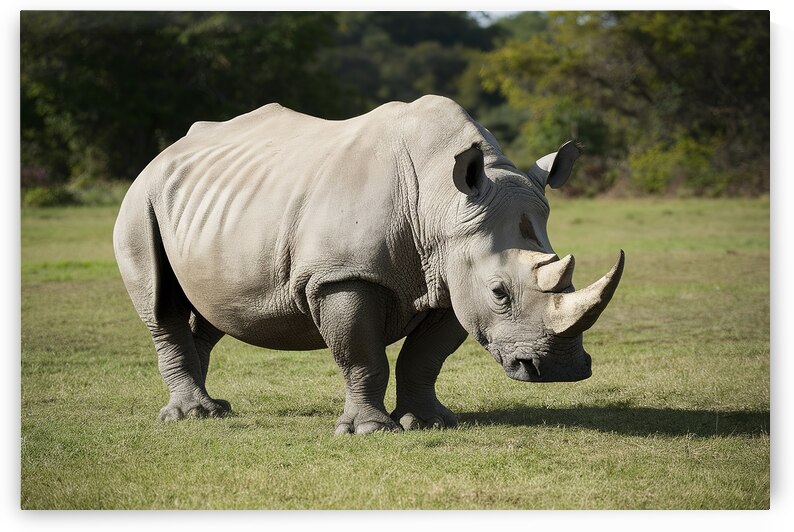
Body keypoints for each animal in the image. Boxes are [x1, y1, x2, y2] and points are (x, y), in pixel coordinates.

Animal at [114, 95, 624, 434]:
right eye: (500, 293)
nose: (560, 369)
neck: (442, 204)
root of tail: (165, 153)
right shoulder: (342, 276)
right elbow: (362, 355)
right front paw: (370, 431)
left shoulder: (452, 277)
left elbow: (425, 357)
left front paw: (430, 422)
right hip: (140, 200)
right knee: (162, 307)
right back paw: (191, 416)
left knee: (212, 309)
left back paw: (214, 410)